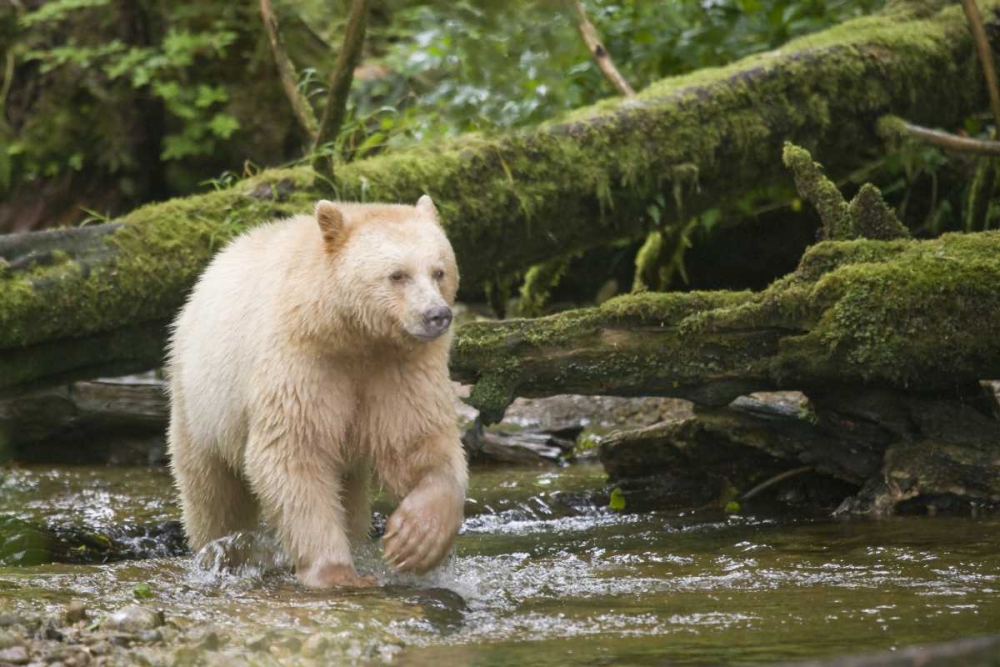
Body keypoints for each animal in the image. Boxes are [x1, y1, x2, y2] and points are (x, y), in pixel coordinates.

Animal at [166, 195, 468, 588]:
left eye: (439, 271)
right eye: (397, 274)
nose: (437, 314)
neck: (351, 334)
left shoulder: (400, 369)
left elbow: (418, 442)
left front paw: (414, 539)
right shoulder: (302, 361)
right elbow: (293, 452)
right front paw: (337, 572)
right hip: (200, 400)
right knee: (213, 492)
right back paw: (220, 553)